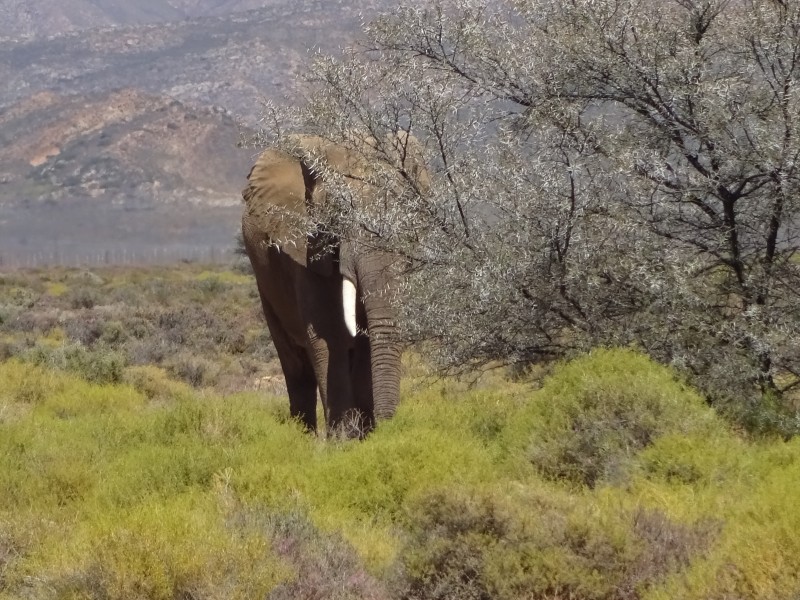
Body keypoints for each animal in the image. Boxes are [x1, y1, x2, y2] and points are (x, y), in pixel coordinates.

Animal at [241, 134, 428, 438]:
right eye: (339, 213)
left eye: (408, 213)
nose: (389, 426)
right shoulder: (303, 244)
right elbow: (330, 333)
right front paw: (342, 441)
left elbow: (363, 338)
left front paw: (364, 438)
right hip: (263, 281)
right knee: (295, 366)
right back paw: (300, 438)